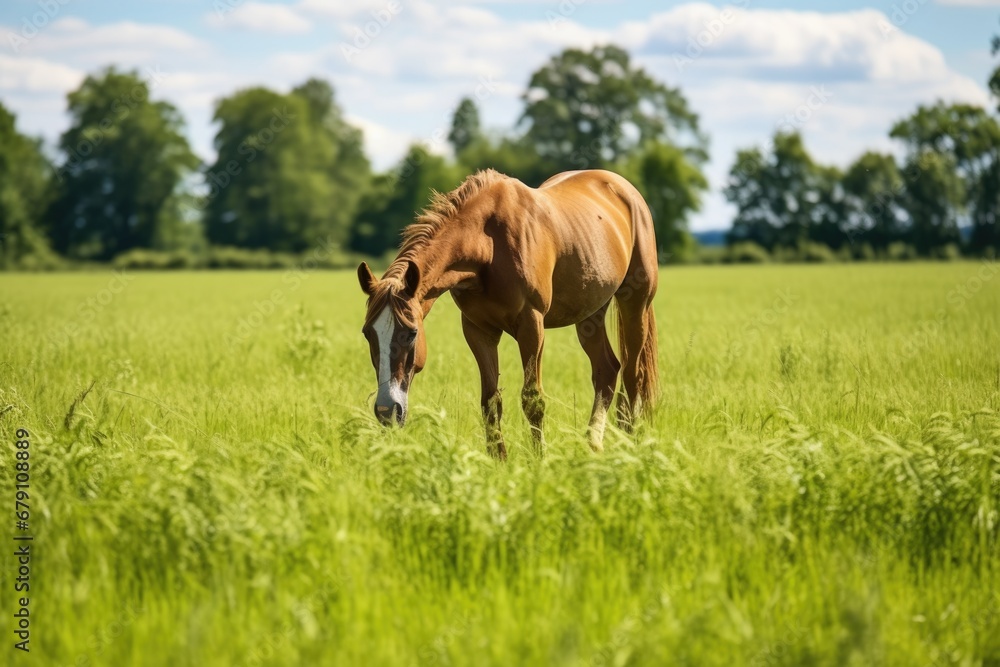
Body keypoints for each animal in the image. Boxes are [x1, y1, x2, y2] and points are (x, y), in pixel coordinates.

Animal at [357, 168, 659, 459]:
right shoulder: (478, 330)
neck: (488, 245)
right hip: (590, 315)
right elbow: (490, 401)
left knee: (633, 375)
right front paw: (498, 459)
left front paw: (539, 458)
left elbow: (532, 399)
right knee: (606, 371)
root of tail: (626, 191)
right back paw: (593, 445)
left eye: (411, 334)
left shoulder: (531, 325)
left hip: (635, 306)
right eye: (368, 334)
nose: (386, 411)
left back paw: (630, 442)